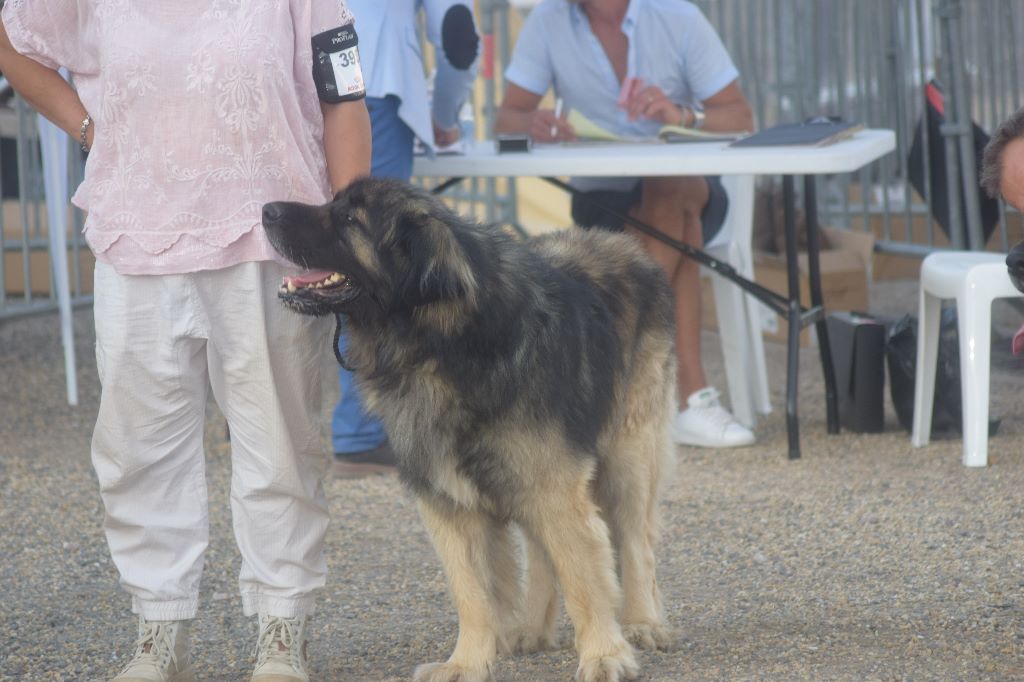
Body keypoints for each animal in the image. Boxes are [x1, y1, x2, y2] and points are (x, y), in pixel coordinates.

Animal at [262, 178, 679, 675]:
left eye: (349, 218)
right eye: (333, 201)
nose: (266, 210)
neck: (439, 342)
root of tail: (624, 243)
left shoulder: (555, 485)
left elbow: (583, 575)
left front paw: (604, 655)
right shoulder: (450, 498)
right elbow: (472, 593)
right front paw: (466, 663)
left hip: (626, 453)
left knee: (636, 541)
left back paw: (641, 622)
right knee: (542, 551)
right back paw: (533, 628)